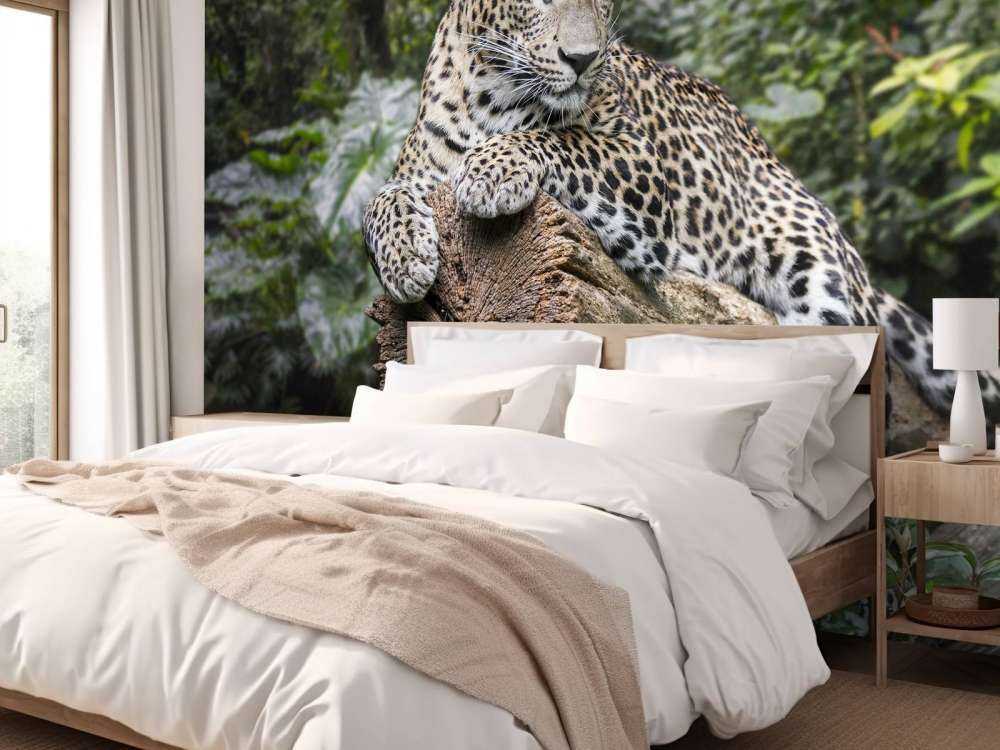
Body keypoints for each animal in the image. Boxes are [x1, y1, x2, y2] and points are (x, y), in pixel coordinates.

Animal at [362, 0, 997, 421]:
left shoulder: (639, 166)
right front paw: (405, 258)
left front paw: (490, 171)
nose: (583, 58)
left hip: (823, 281)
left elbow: (562, 139)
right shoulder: (416, 172)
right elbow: (379, 199)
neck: (494, 95)